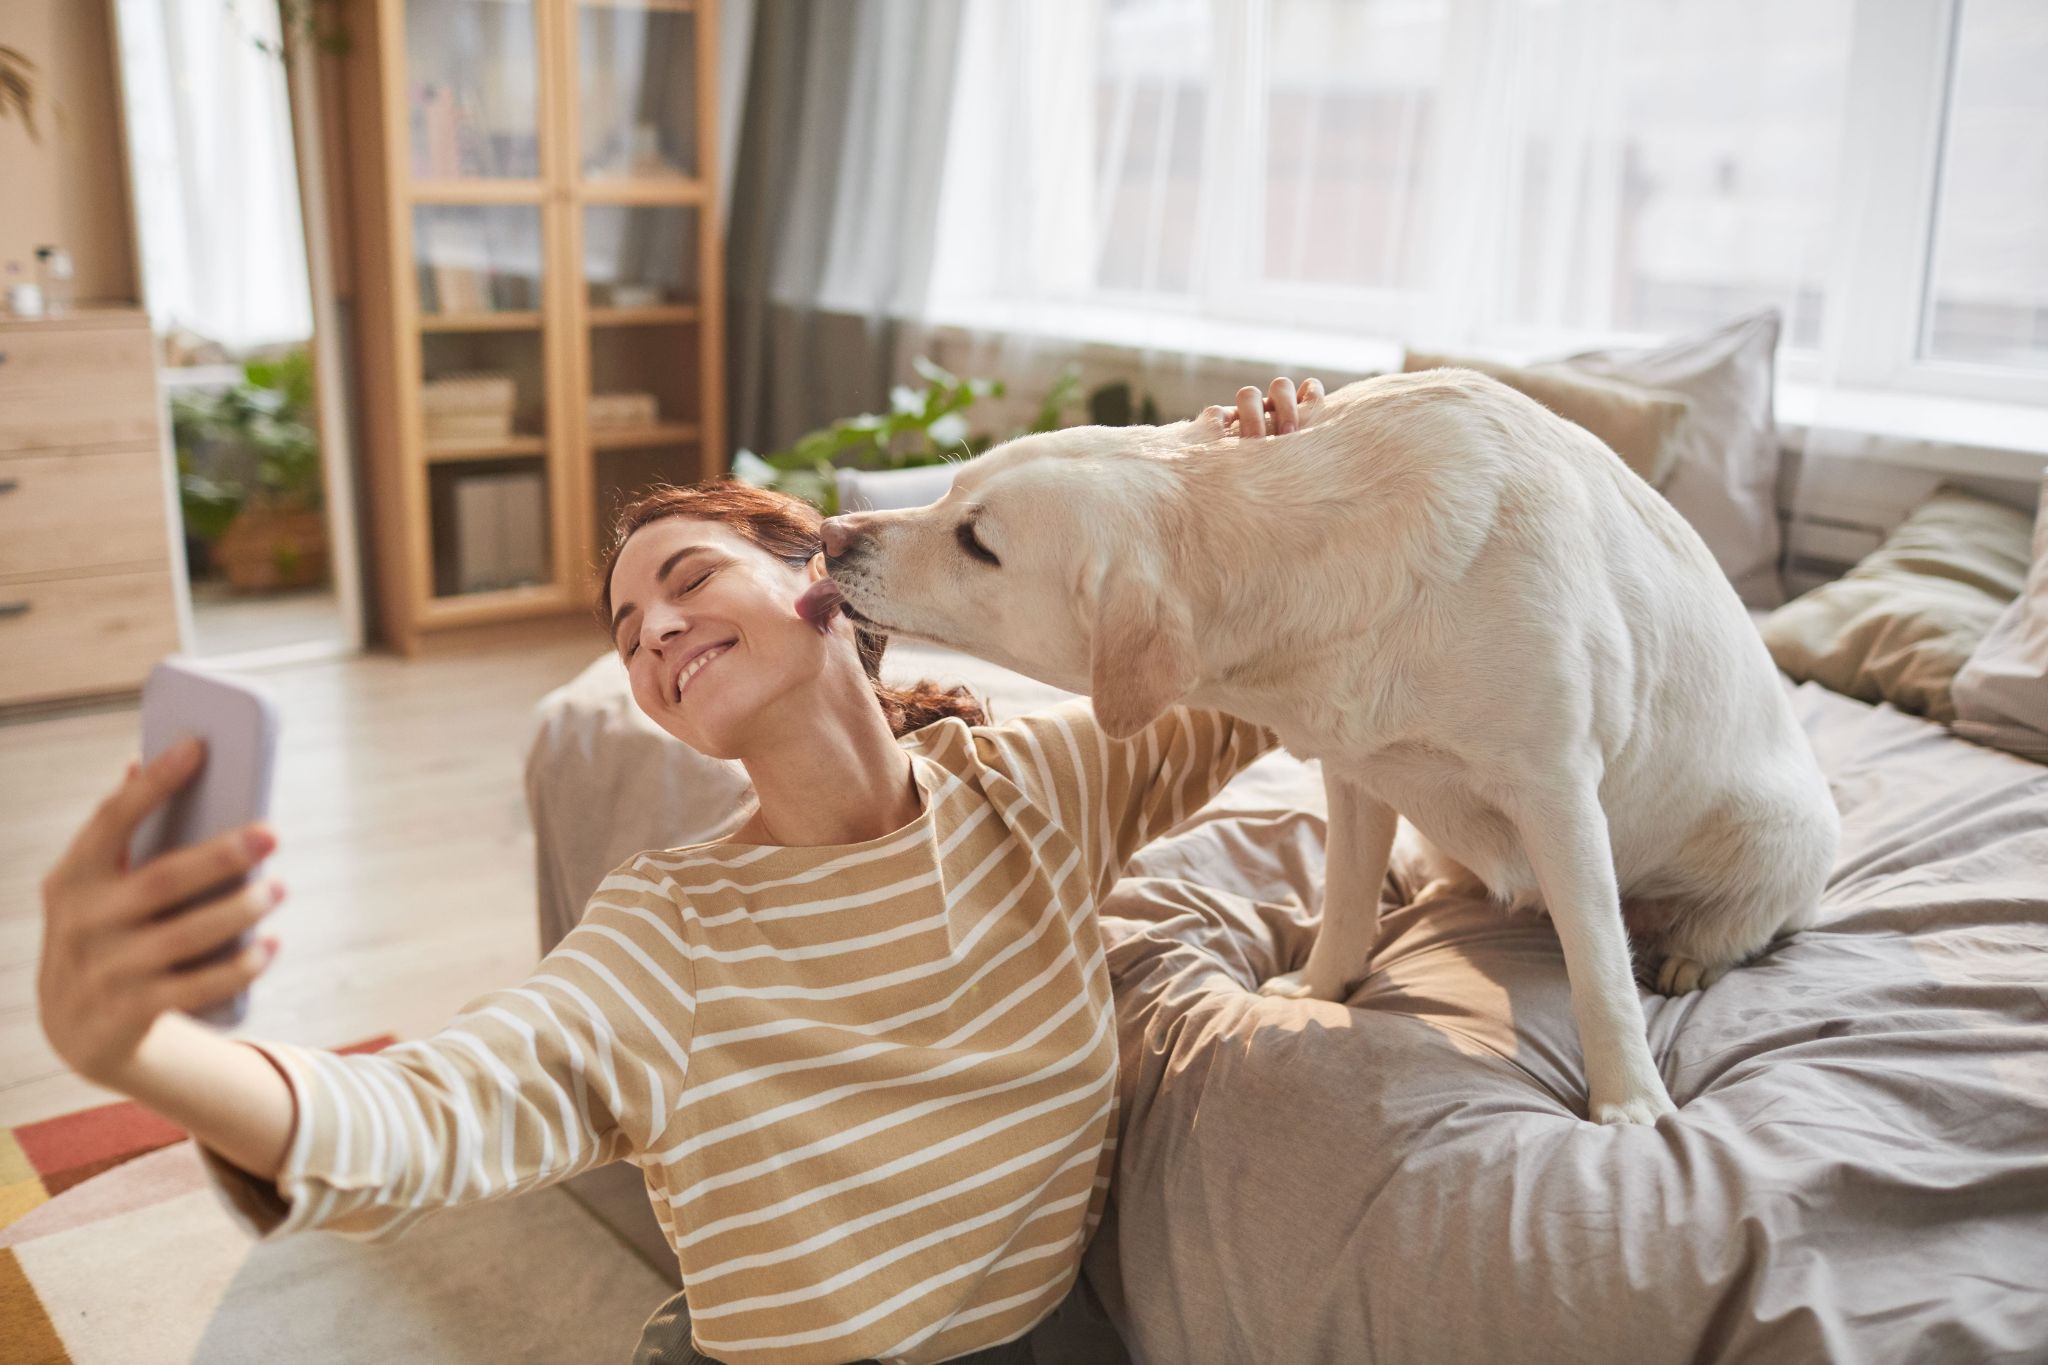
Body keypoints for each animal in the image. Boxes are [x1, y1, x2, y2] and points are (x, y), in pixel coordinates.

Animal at [815, 368, 1843, 1129]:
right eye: (949, 488)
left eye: (977, 541)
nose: (829, 534)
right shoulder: (1356, 769)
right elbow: (1345, 894)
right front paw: (1321, 985)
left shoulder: (1557, 789)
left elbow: (1597, 963)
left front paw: (1630, 1102)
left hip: (1782, 829)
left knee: (1742, 920)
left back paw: (1692, 951)